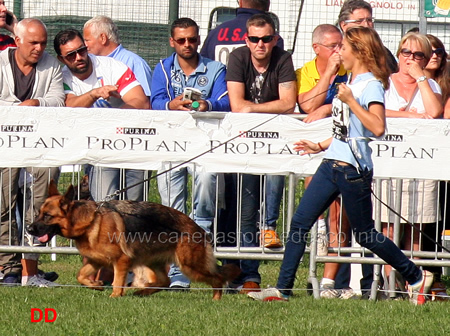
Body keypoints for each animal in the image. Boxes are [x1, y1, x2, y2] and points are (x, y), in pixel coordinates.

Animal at [27, 181, 239, 300]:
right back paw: (142, 292)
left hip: (189, 265)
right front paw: (96, 285)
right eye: (38, 214)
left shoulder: (121, 261)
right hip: (153, 261)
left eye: (47, 216)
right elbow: (80, 275)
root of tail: (197, 228)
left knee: (217, 278)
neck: (90, 220)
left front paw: (115, 296)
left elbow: (117, 281)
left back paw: (216, 298)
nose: (29, 229)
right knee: (164, 280)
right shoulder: (96, 261)